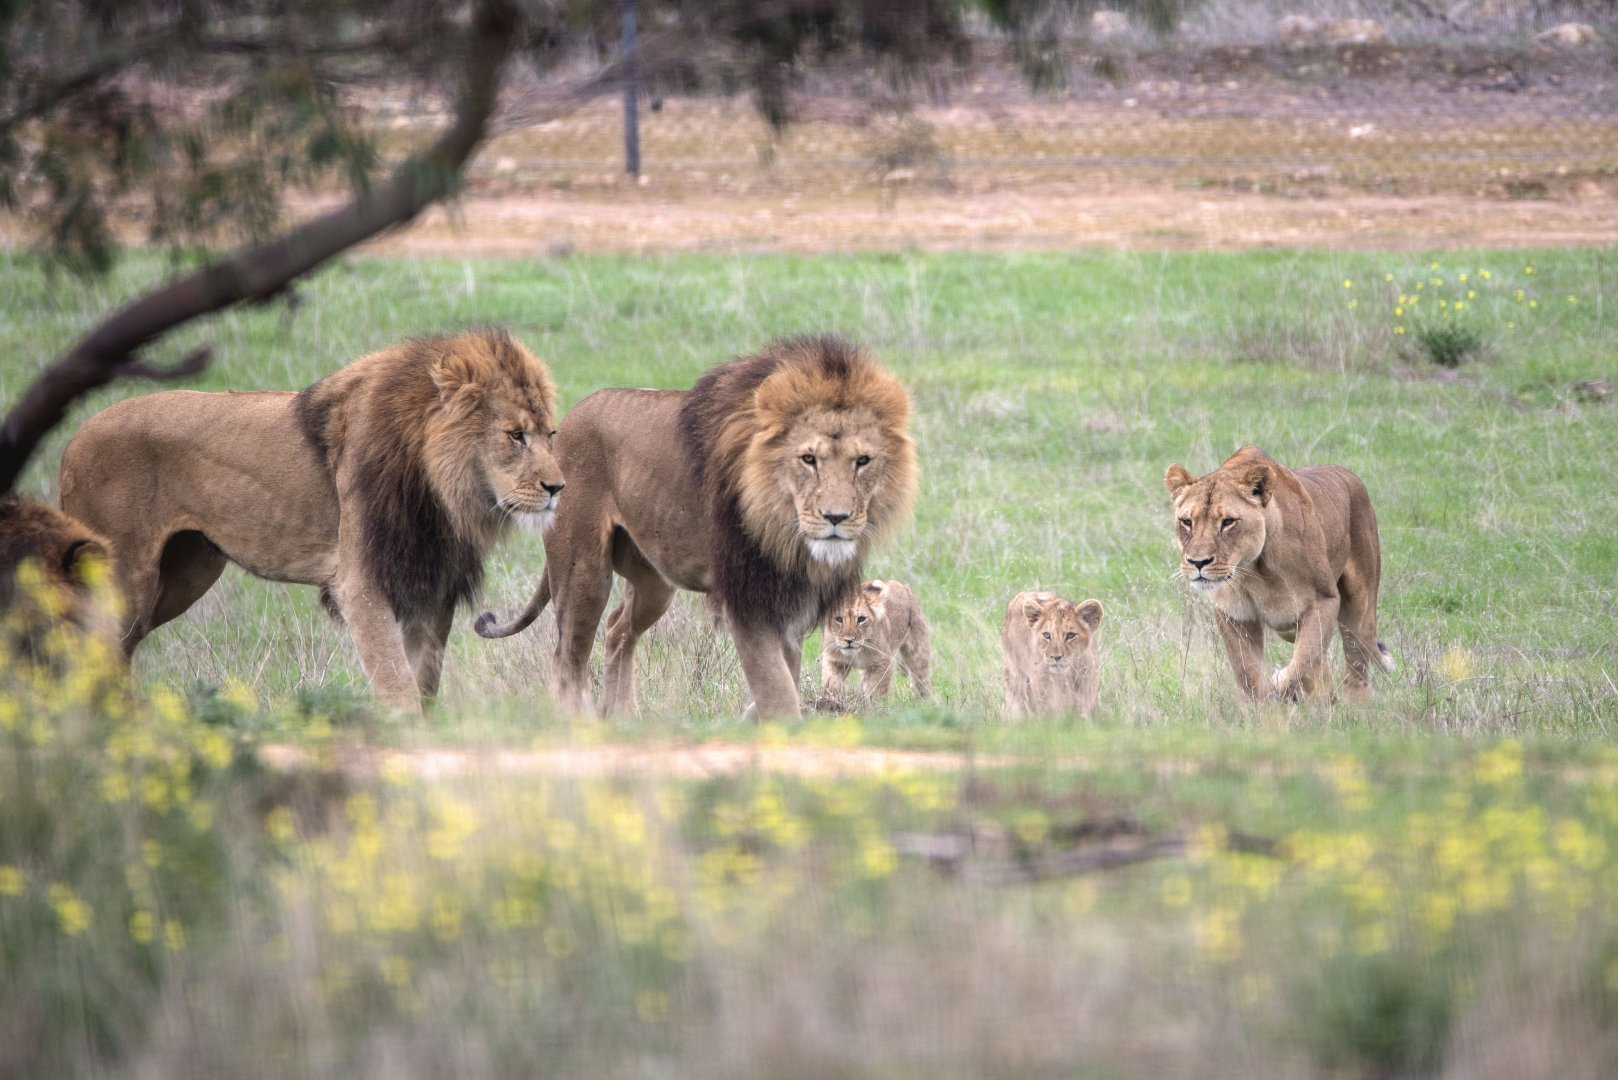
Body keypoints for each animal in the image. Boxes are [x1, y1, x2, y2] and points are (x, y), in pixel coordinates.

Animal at [57, 329, 564, 712]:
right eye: (515, 436)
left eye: (550, 434)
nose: (558, 487)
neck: (438, 489)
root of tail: (73, 440)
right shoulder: (360, 584)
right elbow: (397, 686)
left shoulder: (431, 586)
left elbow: (423, 685)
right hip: (125, 577)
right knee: (91, 650)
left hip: (186, 571)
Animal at [476, 334, 917, 722]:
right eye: (808, 459)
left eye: (863, 461)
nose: (836, 518)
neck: (786, 530)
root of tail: (565, 423)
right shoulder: (747, 599)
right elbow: (777, 688)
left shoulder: (788, 599)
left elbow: (785, 677)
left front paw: (753, 718)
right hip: (582, 569)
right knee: (567, 657)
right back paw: (582, 725)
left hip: (654, 582)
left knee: (619, 629)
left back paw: (624, 719)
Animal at [1001, 590, 1104, 719]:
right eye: (1046, 635)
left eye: (1070, 635)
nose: (1056, 657)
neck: (1065, 676)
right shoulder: (1042, 686)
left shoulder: (1086, 686)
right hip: (1014, 677)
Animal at [1164, 445, 1394, 702]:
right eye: (1186, 522)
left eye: (1228, 522)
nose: (1198, 562)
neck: (1252, 568)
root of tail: (1349, 474)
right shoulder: (1234, 615)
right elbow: (1248, 673)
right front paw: (1264, 705)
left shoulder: (1323, 600)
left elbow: (1303, 660)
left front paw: (1278, 686)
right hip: (1291, 628)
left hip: (1359, 610)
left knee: (1357, 658)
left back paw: (1353, 705)